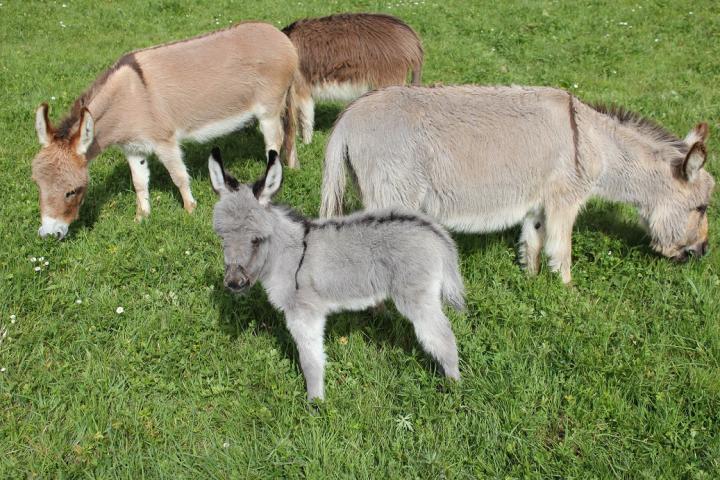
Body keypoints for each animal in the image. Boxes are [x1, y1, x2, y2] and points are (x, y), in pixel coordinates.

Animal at [211, 148, 464, 400]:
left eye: (256, 239)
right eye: (222, 237)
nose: (234, 283)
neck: (288, 255)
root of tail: (435, 232)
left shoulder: (304, 314)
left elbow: (311, 361)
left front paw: (315, 402)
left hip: (416, 297)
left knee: (443, 338)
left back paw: (453, 387)